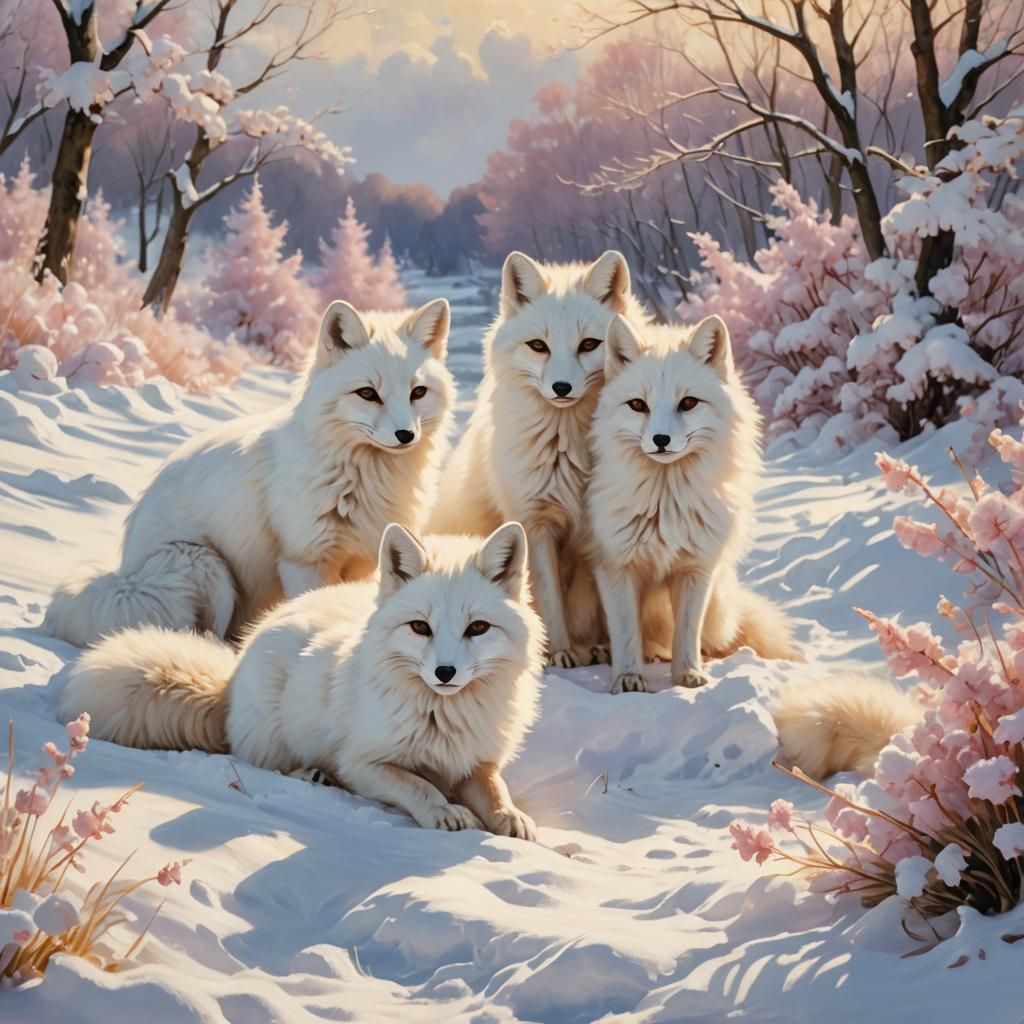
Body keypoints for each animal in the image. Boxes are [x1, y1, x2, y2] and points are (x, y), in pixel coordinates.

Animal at [44, 299, 456, 647]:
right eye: (368, 393)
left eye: (418, 392)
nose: (406, 436)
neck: (364, 478)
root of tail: (126, 576)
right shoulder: (304, 560)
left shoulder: (361, 562)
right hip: (209, 568)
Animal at [58, 522, 545, 837]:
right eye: (420, 627)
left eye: (477, 628)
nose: (445, 673)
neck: (444, 715)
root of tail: (234, 675)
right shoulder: (362, 762)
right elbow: (417, 785)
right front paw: (445, 813)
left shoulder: (478, 760)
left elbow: (495, 789)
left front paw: (511, 818)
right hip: (278, 734)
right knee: (267, 763)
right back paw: (312, 775)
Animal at [429, 249, 650, 668]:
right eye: (538, 346)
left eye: (589, 344)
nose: (561, 388)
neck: (569, 449)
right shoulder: (535, 522)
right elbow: (550, 599)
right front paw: (561, 650)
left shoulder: (593, 533)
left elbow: (588, 599)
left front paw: (593, 646)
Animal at [586, 313, 801, 695]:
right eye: (638, 405)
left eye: (688, 403)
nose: (660, 440)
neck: (665, 505)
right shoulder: (615, 567)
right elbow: (626, 635)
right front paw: (628, 678)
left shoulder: (696, 569)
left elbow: (687, 633)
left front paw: (688, 676)